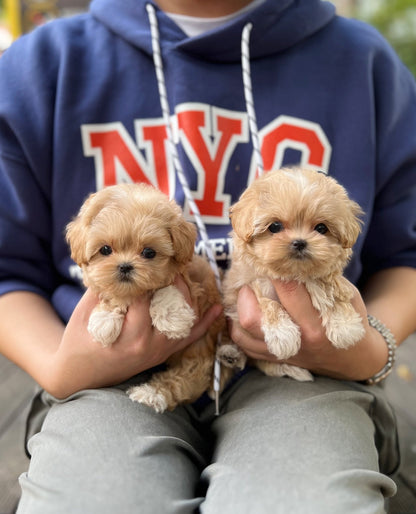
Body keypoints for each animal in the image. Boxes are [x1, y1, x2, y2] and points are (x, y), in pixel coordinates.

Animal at [66, 182, 224, 410]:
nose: (125, 266)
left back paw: (151, 393)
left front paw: (172, 319)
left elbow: (164, 289)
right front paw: (104, 320)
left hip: (198, 352)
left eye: (149, 252)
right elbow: (110, 295)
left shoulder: (194, 284)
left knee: (186, 379)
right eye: (105, 249)